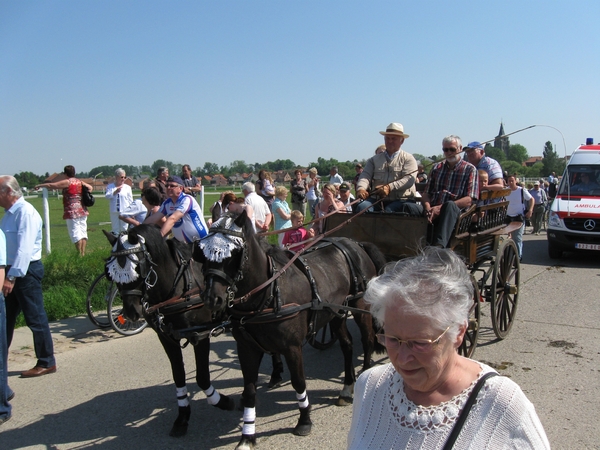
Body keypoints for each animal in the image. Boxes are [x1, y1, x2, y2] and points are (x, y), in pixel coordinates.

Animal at [102, 227, 244, 438]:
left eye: (137, 268)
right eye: (111, 272)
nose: (131, 312)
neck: (179, 287)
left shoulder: (200, 335)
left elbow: (202, 377)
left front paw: (222, 401)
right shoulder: (167, 338)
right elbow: (178, 375)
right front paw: (182, 416)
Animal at [195, 212, 386, 450]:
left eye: (234, 254)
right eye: (202, 253)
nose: (212, 298)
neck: (269, 293)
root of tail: (355, 243)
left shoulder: (292, 348)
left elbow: (299, 382)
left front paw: (304, 421)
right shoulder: (247, 349)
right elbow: (249, 391)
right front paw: (247, 436)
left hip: (360, 305)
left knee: (367, 339)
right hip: (336, 313)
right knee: (347, 344)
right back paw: (346, 387)